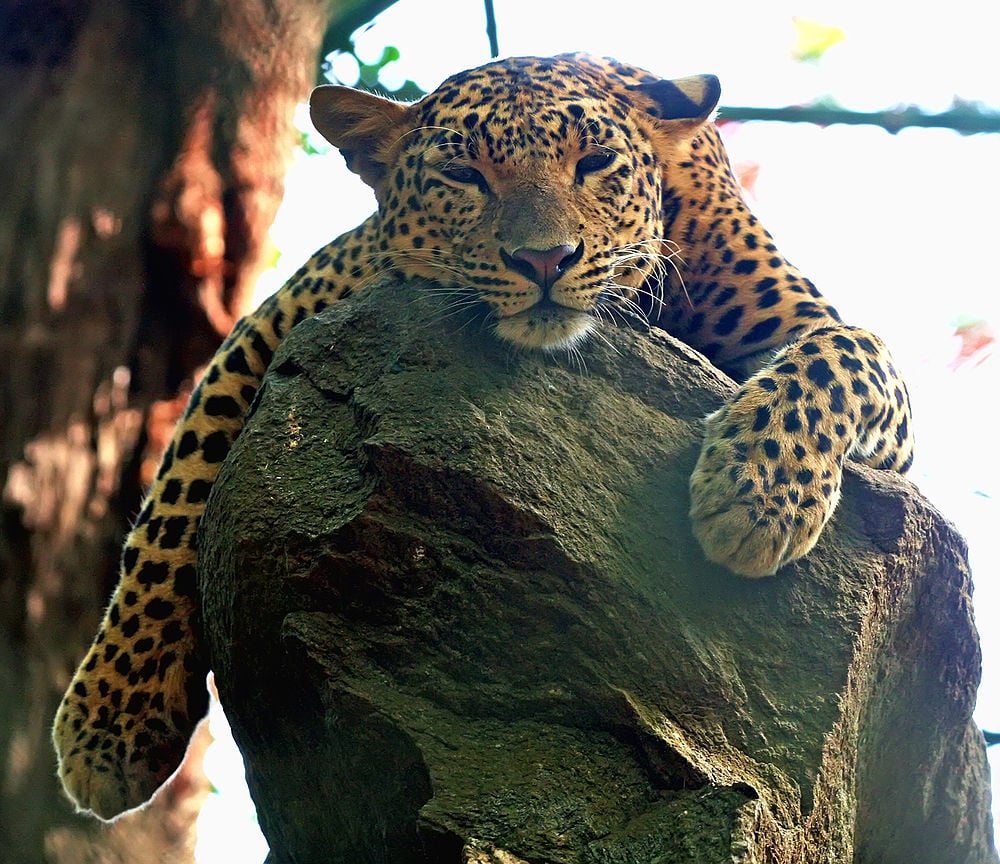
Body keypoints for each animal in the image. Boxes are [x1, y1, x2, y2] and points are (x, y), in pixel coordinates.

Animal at [52, 50, 916, 820]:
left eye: (595, 163)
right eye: (465, 176)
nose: (544, 259)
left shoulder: (828, 348)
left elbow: (847, 355)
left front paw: (756, 496)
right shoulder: (275, 324)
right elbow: (175, 499)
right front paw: (111, 717)